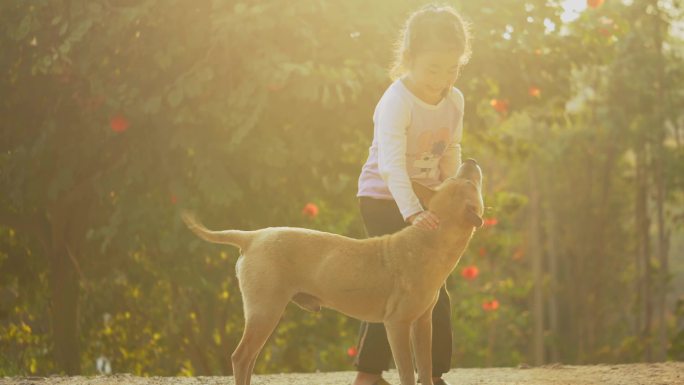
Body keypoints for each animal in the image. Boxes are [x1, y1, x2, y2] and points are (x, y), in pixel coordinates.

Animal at [179, 158, 484, 382]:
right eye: (470, 183)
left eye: (459, 181)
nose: (469, 160)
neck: (429, 240)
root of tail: (252, 237)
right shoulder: (397, 325)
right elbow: (408, 372)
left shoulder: (422, 324)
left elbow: (425, 367)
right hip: (265, 310)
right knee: (241, 357)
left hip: (263, 314)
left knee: (248, 358)